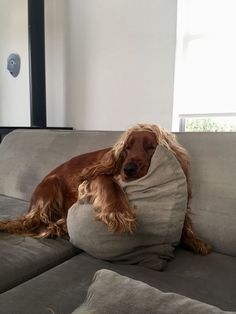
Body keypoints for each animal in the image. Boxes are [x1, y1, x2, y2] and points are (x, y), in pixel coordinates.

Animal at [0, 123, 210, 255]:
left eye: (151, 147)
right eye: (127, 148)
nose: (128, 169)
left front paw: (194, 239)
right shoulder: (92, 176)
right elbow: (108, 182)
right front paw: (118, 212)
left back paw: (58, 226)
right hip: (52, 184)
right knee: (34, 221)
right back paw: (51, 227)